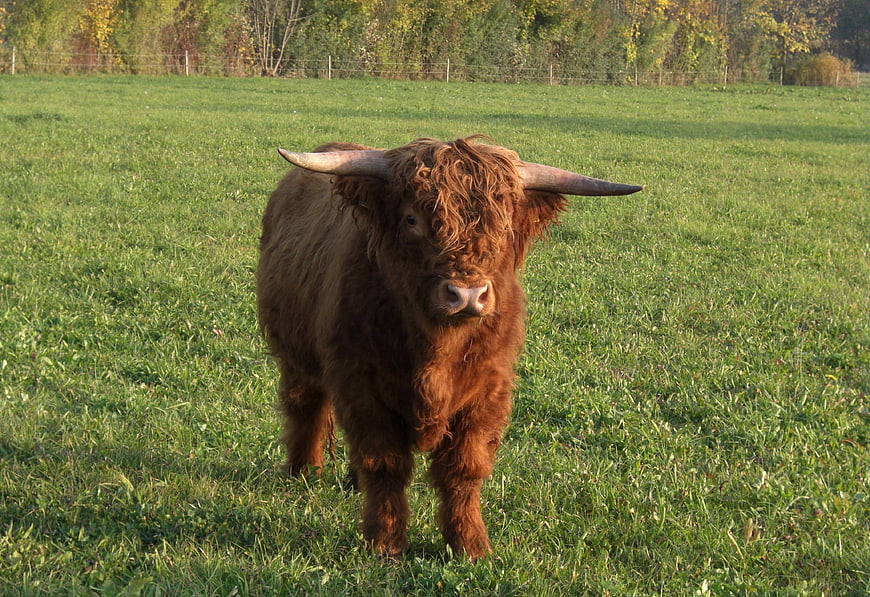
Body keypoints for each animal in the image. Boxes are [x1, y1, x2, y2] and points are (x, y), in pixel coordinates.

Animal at [256, 136, 641, 559]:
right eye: (412, 220)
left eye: (503, 224)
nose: (467, 295)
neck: (435, 351)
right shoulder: (361, 385)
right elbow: (384, 464)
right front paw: (385, 543)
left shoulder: (488, 392)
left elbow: (464, 469)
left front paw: (470, 544)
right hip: (295, 354)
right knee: (304, 406)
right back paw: (303, 472)